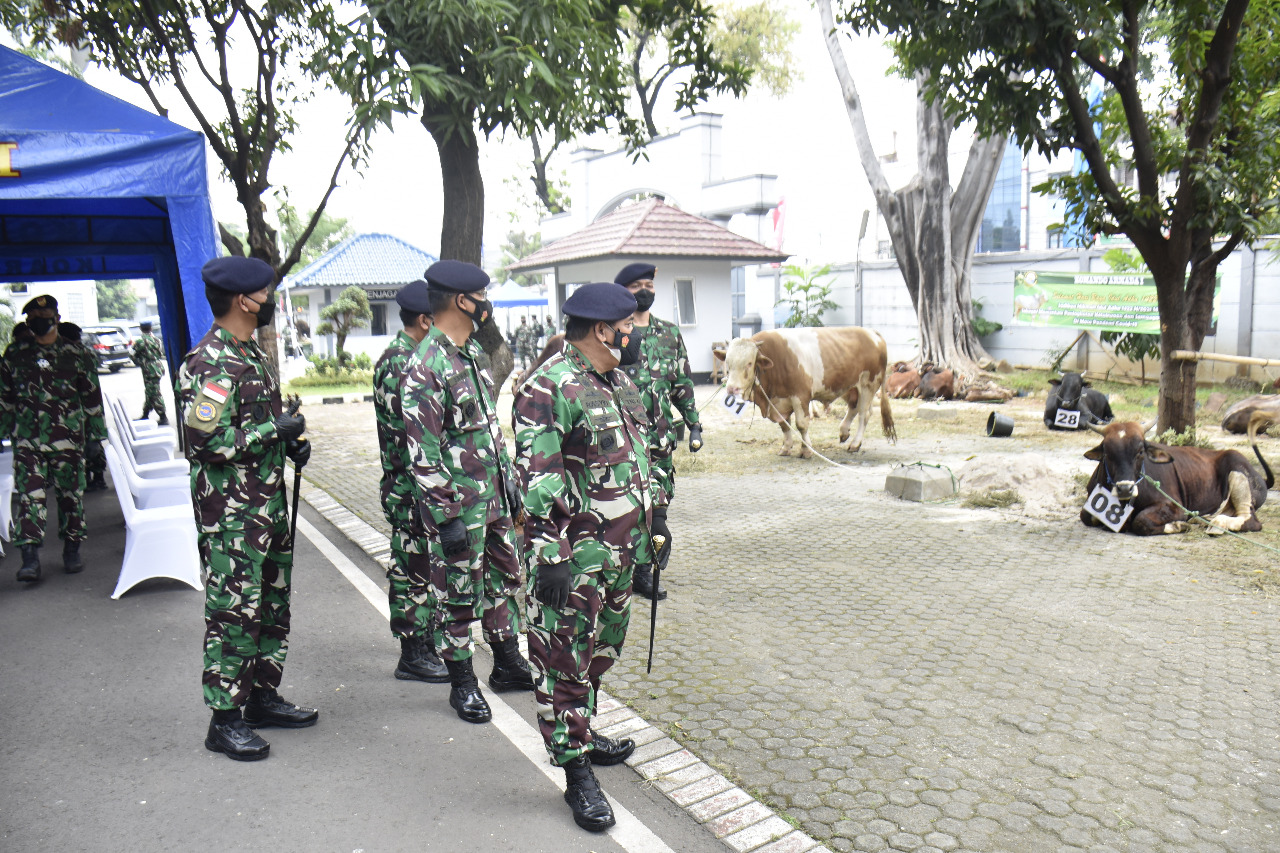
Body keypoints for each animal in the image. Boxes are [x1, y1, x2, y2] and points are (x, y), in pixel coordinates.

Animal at [721, 325, 901, 458]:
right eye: (727, 364)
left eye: (749, 363)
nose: (732, 388)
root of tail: (871, 332)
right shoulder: (778, 402)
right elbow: (784, 424)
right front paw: (786, 447)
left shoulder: (800, 396)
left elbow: (801, 424)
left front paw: (806, 449)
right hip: (849, 386)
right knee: (854, 408)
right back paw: (843, 432)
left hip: (868, 383)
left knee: (864, 413)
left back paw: (855, 443)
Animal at [1080, 417, 1269, 535]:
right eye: (1107, 453)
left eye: (1140, 451)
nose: (1125, 488)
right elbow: (1087, 516)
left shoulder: (1174, 507)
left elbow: (1141, 521)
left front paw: (1179, 525)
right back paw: (1204, 520)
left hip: (1237, 471)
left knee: (1251, 520)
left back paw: (1217, 524)